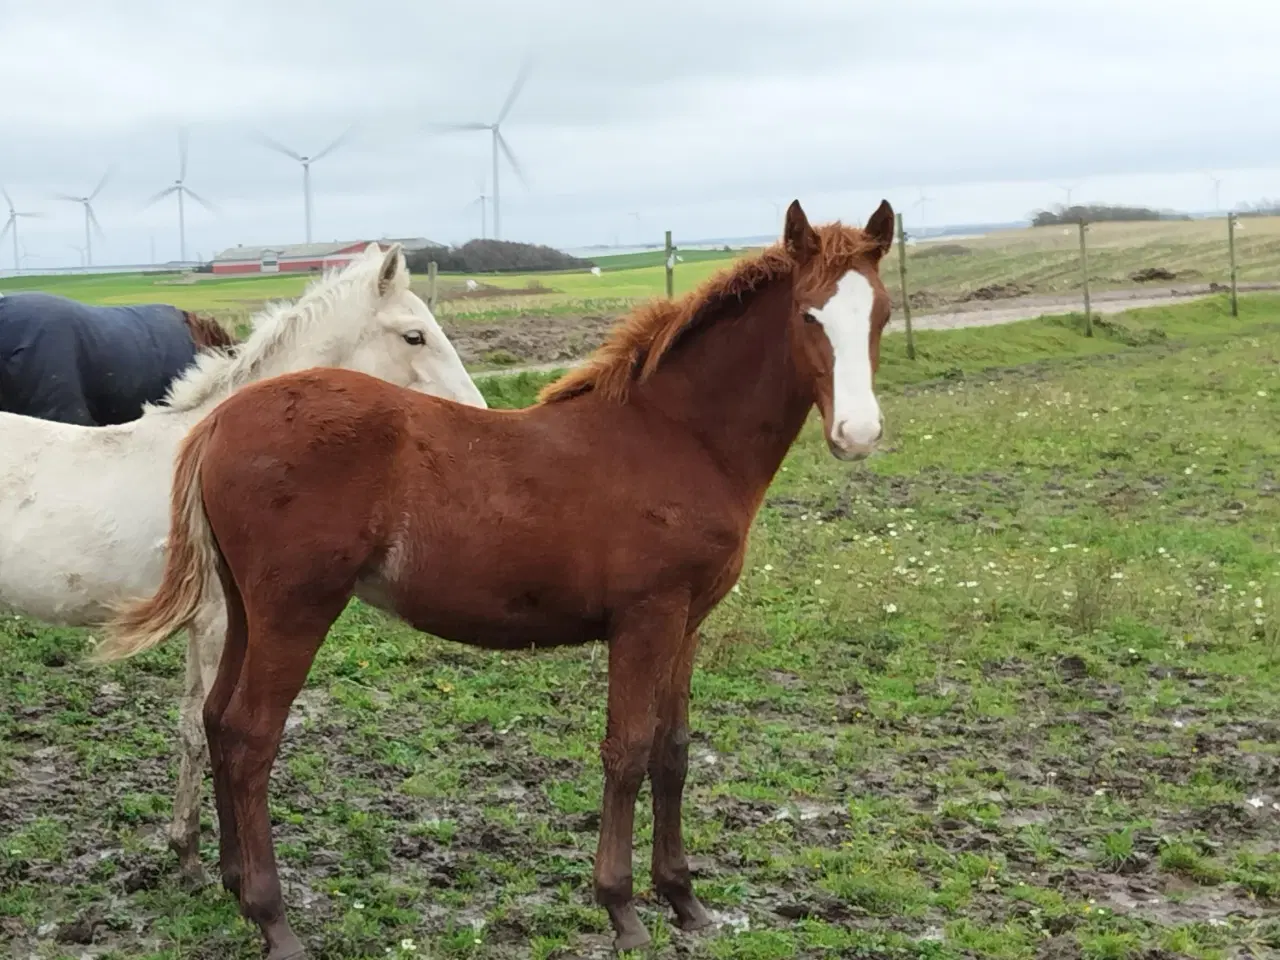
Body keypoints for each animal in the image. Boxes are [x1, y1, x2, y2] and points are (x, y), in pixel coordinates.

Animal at [99, 199, 896, 957]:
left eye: (881, 313)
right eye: (808, 315)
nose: (857, 435)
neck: (677, 439)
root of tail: (218, 421)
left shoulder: (687, 622)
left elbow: (673, 751)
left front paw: (685, 901)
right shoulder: (646, 619)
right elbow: (627, 751)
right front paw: (622, 911)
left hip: (245, 607)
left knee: (214, 719)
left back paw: (234, 887)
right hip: (296, 610)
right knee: (249, 736)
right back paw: (274, 921)